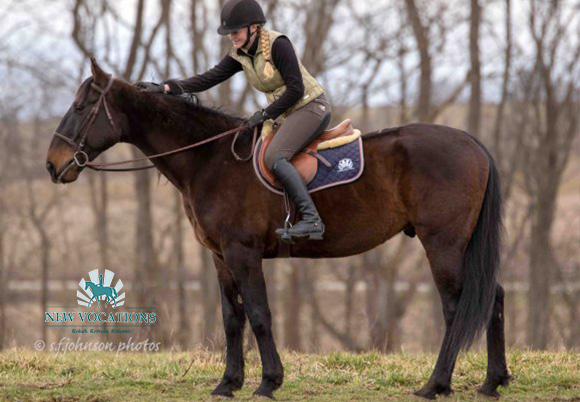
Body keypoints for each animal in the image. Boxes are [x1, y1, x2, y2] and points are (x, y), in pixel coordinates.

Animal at [45, 58, 510, 400]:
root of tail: (473, 143)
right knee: (494, 298)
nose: (52, 165)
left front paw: (268, 382)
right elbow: (232, 318)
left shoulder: (243, 253)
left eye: (83, 107)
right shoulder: (220, 257)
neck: (211, 160)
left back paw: (436, 384)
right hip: (461, 247)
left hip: (443, 244)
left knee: (456, 307)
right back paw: (493, 381)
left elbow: (259, 315)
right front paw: (228, 383)